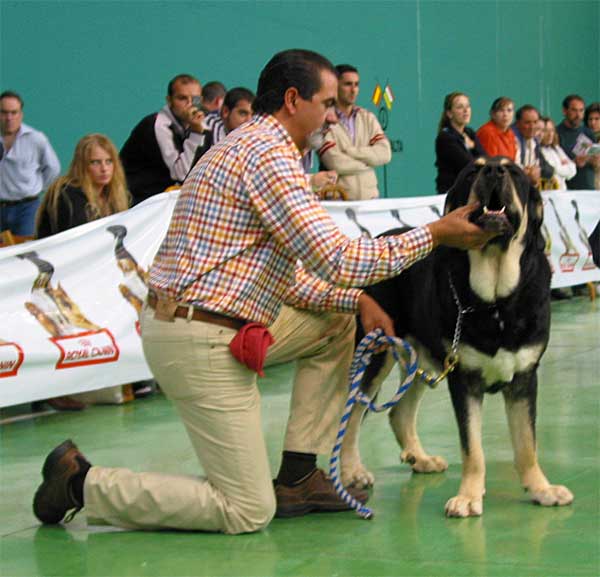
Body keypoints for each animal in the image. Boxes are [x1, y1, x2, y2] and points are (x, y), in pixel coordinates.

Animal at [340, 156, 576, 516]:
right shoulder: (464, 380)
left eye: (514, 171)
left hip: (422, 359)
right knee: (352, 414)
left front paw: (541, 489)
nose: (493, 171)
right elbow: (473, 448)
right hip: (375, 350)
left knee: (399, 413)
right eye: (472, 171)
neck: (495, 301)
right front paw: (468, 497)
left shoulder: (524, 378)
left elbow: (526, 443)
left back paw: (420, 458)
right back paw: (352, 470)